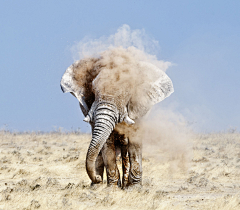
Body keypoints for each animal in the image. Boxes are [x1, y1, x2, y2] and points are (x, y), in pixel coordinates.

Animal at [59, 46, 172, 188]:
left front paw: (134, 189)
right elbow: (107, 143)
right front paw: (112, 188)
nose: (97, 178)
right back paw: (96, 186)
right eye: (93, 90)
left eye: (127, 94)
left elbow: (134, 141)